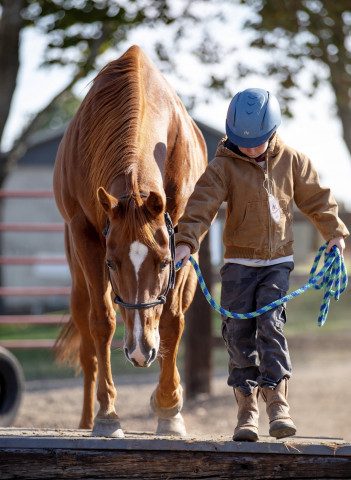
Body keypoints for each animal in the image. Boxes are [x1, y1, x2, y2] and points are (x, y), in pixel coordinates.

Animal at [52, 46, 206, 438]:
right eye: (112, 263)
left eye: (164, 263)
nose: (139, 352)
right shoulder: (87, 238)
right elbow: (102, 323)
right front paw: (108, 416)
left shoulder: (181, 237)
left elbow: (171, 322)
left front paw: (169, 409)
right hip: (78, 280)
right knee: (89, 345)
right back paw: (88, 419)